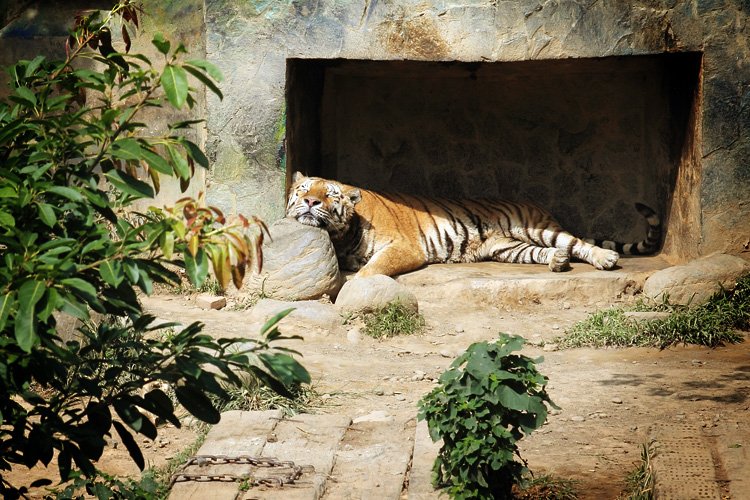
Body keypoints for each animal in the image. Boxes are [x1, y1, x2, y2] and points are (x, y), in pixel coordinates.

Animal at [284, 170, 660, 276]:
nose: (310, 201)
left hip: (537, 228)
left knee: (576, 242)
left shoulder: (404, 248)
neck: (341, 236)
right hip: (508, 249)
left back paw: (605, 259)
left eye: (329, 195)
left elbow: (372, 270)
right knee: (544, 253)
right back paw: (557, 262)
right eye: (303, 189)